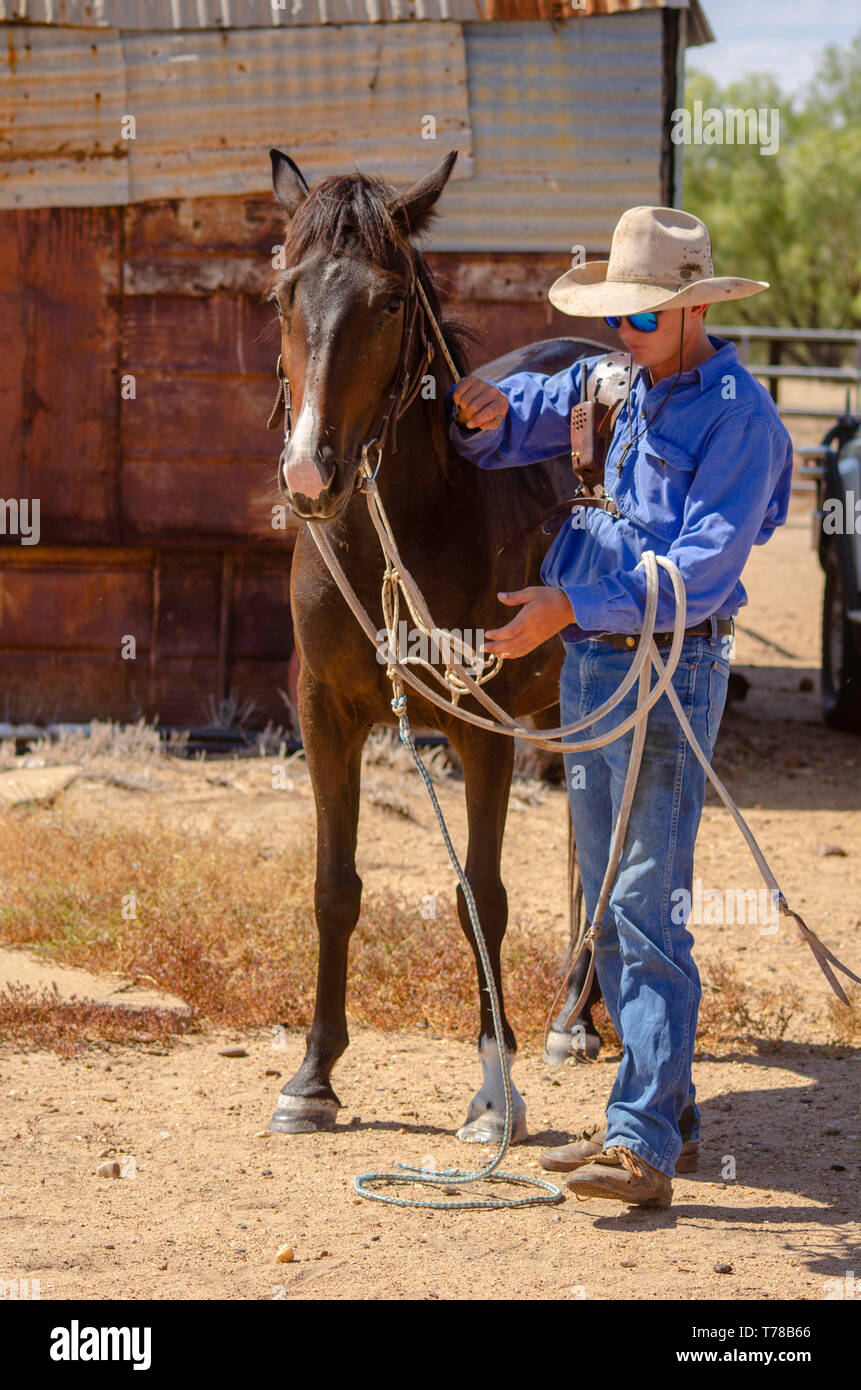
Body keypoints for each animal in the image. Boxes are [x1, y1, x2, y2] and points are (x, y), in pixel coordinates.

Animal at [265, 146, 601, 1143]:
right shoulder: (325, 715)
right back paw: (576, 1018)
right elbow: (334, 887)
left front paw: (495, 1094)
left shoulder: (478, 730)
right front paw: (313, 1077)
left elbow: (479, 898)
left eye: (387, 303)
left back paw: (577, 1016)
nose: (310, 474)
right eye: (282, 294)